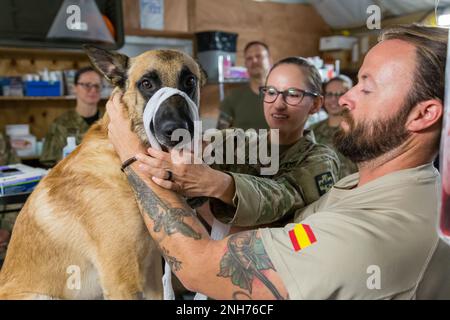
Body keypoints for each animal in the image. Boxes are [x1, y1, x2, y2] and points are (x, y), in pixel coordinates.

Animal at [0, 46, 206, 298]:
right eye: (146, 84)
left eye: (190, 81)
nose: (178, 131)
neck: (119, 159)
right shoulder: (122, 281)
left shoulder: (151, 274)